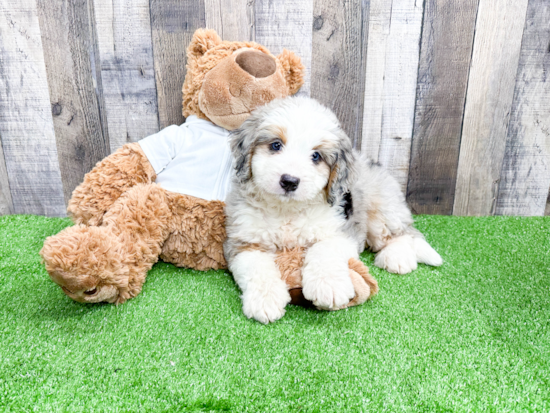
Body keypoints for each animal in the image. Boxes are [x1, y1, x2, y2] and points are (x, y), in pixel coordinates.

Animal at [224, 96, 444, 322]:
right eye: (276, 145)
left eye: (316, 156)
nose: (289, 181)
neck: (287, 211)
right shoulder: (244, 241)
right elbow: (256, 265)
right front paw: (265, 300)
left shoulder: (341, 230)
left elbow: (324, 248)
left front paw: (328, 287)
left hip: (382, 208)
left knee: (402, 233)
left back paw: (396, 257)